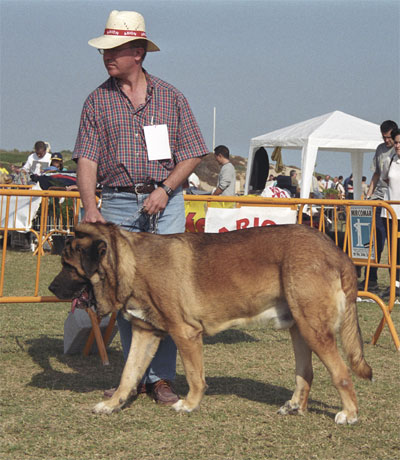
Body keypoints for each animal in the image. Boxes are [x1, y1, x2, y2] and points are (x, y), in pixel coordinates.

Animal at [49, 222, 372, 424]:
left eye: (68, 265)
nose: (51, 288)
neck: (132, 264)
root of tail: (338, 252)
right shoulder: (145, 333)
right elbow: (128, 375)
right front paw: (112, 405)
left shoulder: (186, 333)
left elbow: (195, 376)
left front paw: (189, 404)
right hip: (299, 327)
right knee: (306, 373)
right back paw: (295, 406)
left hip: (313, 329)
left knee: (342, 373)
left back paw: (350, 414)